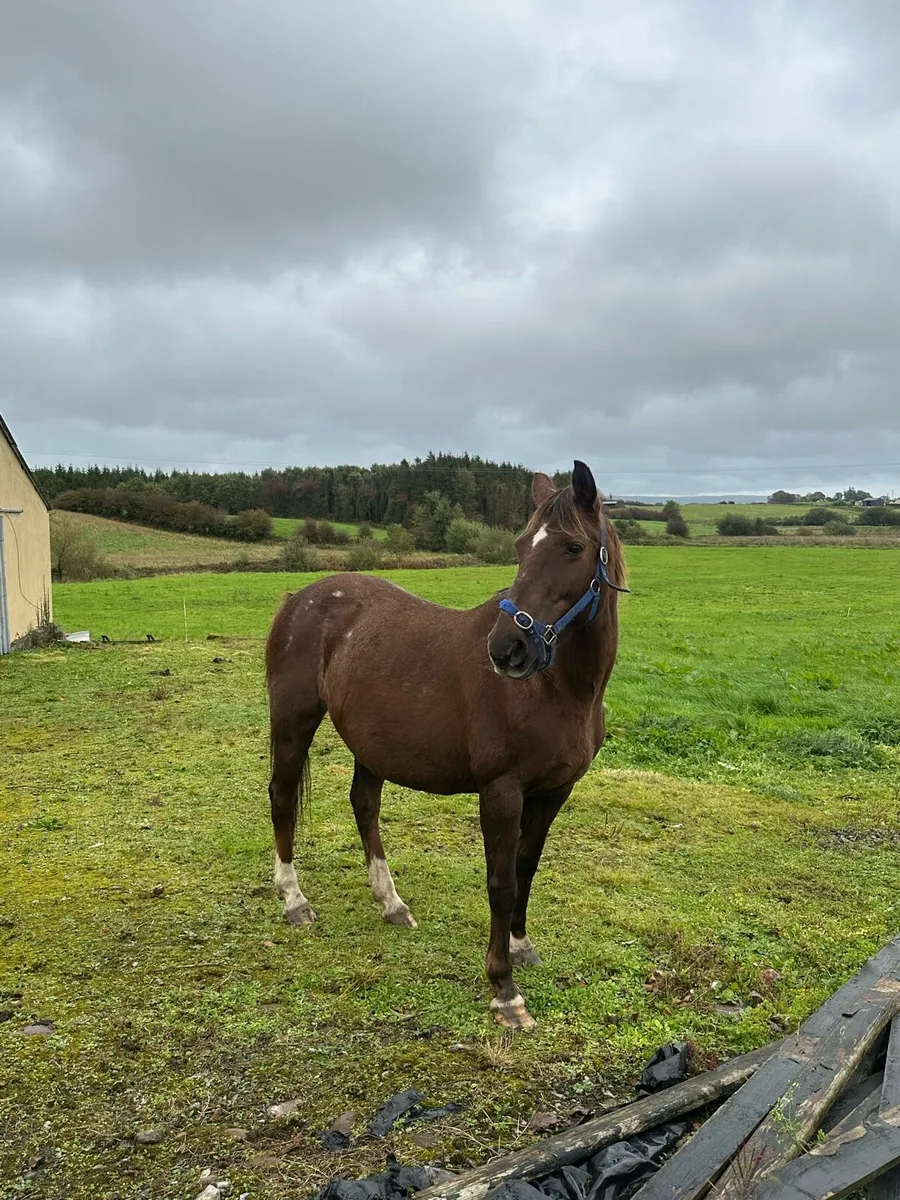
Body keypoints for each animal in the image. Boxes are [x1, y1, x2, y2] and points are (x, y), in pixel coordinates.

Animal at [265, 460, 627, 1028]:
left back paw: (391, 903)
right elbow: (500, 882)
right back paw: (294, 901)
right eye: (521, 546)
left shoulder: (553, 793)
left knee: (364, 805)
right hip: (293, 720)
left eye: (573, 547)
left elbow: (526, 868)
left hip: (370, 743)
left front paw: (521, 947)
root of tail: (299, 599)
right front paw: (504, 989)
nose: (507, 649)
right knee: (282, 798)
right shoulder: (501, 792)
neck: (559, 688)